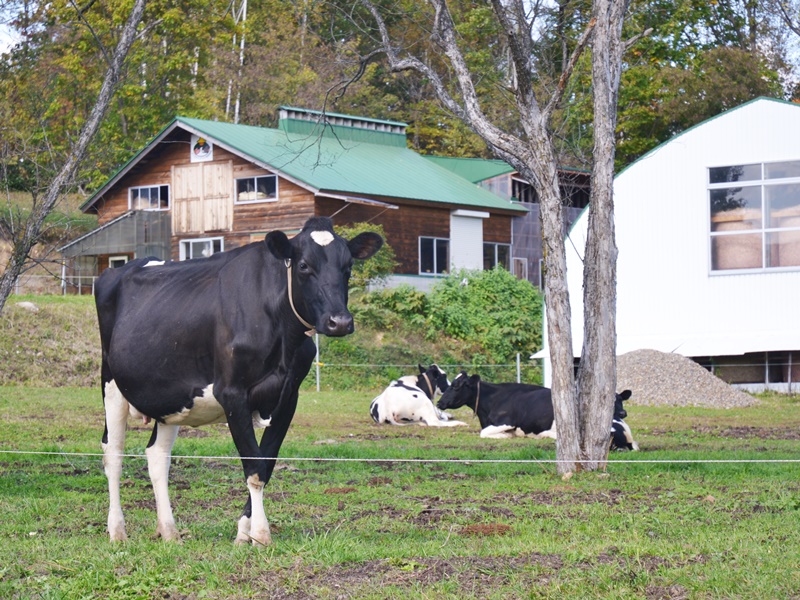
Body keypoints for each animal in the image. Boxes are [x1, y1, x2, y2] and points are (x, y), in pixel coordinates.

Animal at [94, 217, 382, 544]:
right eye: (304, 265)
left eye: (348, 267)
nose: (340, 322)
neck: (283, 336)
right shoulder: (232, 392)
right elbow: (253, 466)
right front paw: (260, 533)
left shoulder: (289, 396)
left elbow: (265, 464)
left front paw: (245, 531)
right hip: (111, 383)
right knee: (113, 454)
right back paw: (117, 530)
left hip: (170, 396)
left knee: (157, 455)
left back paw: (169, 531)